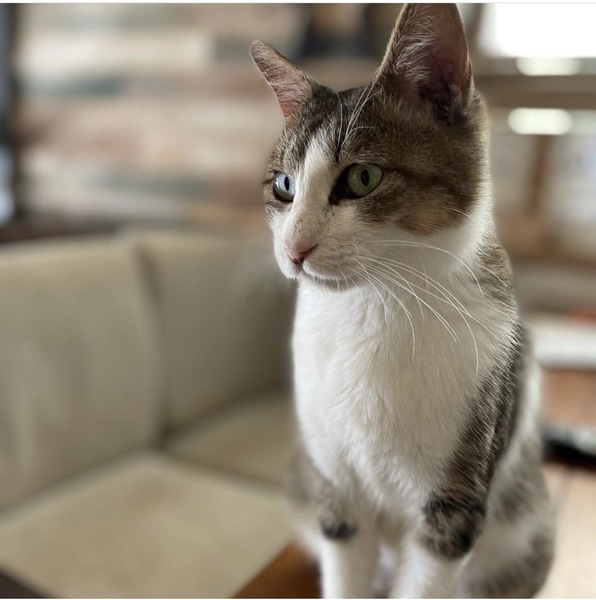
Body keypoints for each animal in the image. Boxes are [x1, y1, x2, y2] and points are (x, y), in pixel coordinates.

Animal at [251, 4, 554, 598]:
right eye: (283, 185)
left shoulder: (453, 503)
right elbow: (343, 567)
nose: (295, 248)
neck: (375, 308)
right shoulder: (335, 491)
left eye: (363, 176)